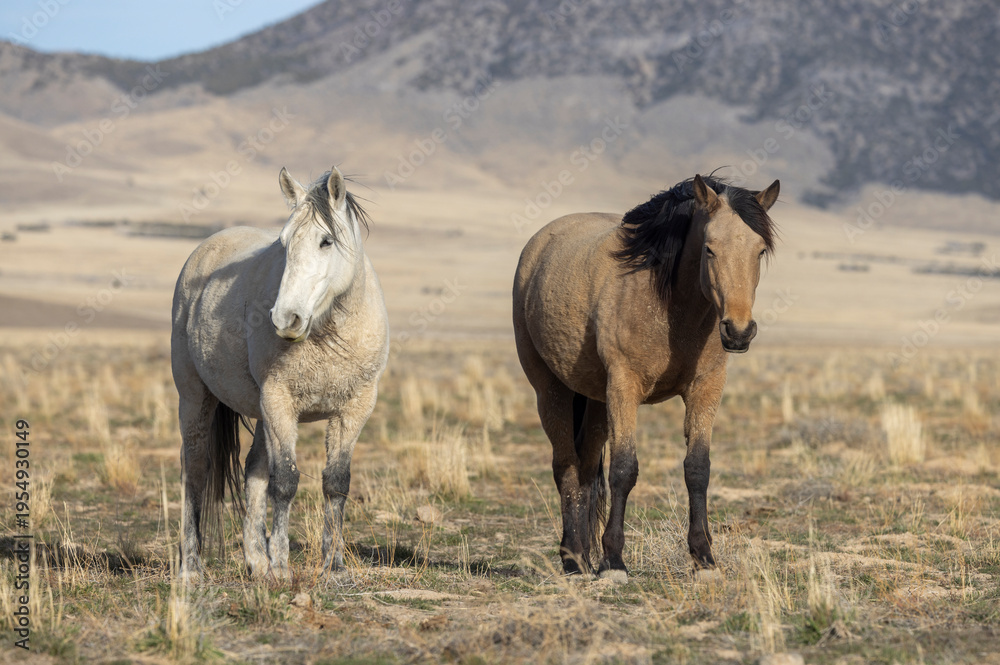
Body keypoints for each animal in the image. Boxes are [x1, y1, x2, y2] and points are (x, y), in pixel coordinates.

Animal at [171, 166, 389, 581]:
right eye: (284, 243)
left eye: (326, 241)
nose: (285, 319)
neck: (328, 331)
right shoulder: (280, 402)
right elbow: (285, 482)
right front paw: (282, 566)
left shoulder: (354, 409)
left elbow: (336, 483)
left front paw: (334, 568)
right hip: (195, 398)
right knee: (195, 471)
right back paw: (192, 568)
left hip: (260, 412)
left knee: (253, 471)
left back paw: (255, 561)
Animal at [512, 173, 780, 578]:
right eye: (710, 249)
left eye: (759, 251)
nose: (738, 331)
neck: (668, 305)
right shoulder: (625, 388)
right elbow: (624, 469)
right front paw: (614, 561)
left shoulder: (706, 387)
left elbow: (697, 468)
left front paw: (704, 556)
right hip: (551, 390)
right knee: (566, 467)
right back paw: (573, 558)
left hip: (595, 399)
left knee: (586, 467)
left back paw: (584, 556)